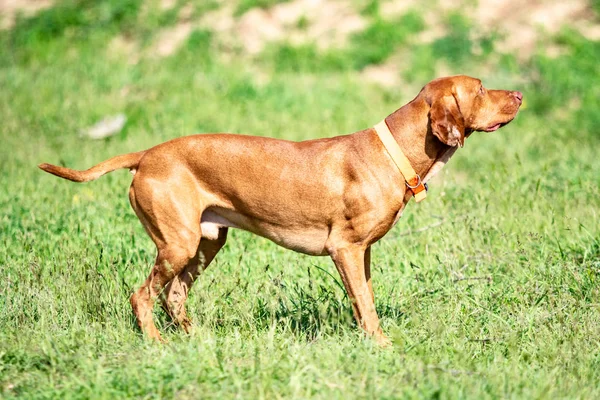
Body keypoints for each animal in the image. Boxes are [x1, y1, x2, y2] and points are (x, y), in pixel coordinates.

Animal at [41, 76, 520, 346]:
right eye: (480, 89)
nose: (518, 94)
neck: (394, 151)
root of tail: (146, 155)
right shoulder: (345, 248)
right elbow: (365, 305)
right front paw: (382, 346)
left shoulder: (362, 253)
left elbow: (363, 299)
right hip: (178, 243)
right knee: (142, 295)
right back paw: (157, 344)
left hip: (205, 243)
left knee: (174, 296)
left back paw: (196, 340)